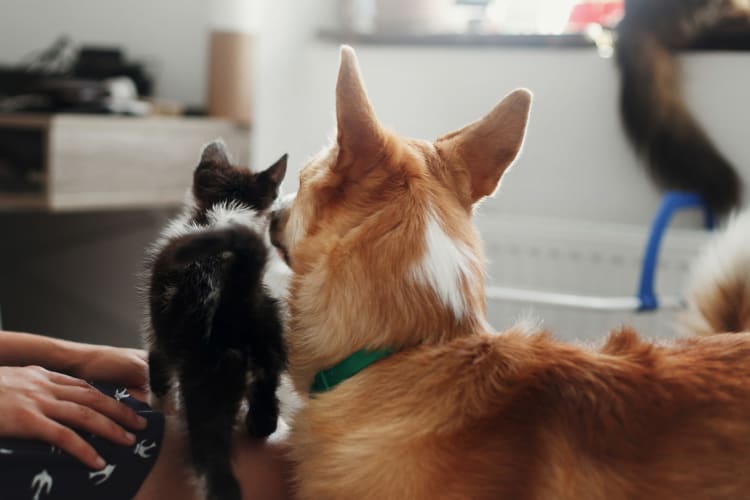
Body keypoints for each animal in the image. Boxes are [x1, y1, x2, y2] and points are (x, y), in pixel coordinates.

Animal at [143, 140, 288, 500]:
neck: (221, 211)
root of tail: (238, 296)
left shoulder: (156, 331)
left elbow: (158, 375)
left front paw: (158, 408)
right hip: (271, 347)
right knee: (266, 416)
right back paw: (256, 424)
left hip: (205, 375)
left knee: (214, 465)